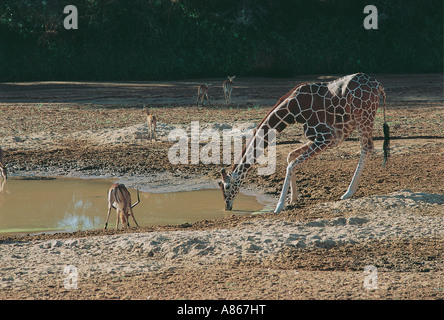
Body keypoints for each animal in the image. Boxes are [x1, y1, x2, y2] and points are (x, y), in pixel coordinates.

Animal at [218, 73, 388, 212]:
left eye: (227, 186)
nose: (227, 206)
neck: (293, 110)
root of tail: (378, 85)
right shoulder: (327, 138)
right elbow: (290, 157)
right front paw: (293, 198)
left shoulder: (327, 137)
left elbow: (291, 164)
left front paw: (279, 206)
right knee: (367, 148)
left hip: (363, 116)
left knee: (367, 148)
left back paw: (348, 193)